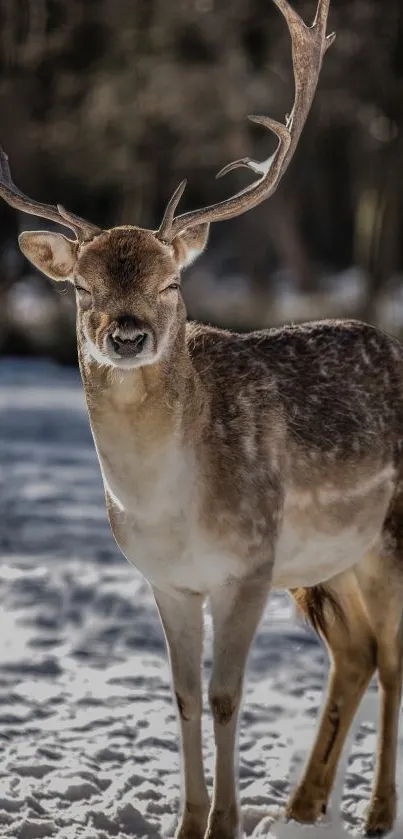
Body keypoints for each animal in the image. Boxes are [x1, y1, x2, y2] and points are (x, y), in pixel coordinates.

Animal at [0, 0, 403, 836]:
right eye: (82, 286)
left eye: (171, 282)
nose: (126, 334)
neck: (170, 506)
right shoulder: (167, 580)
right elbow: (184, 697)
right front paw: (188, 822)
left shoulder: (247, 565)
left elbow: (225, 696)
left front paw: (223, 821)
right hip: (328, 565)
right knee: (354, 653)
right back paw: (303, 807)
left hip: (387, 536)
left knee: (391, 656)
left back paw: (376, 811)